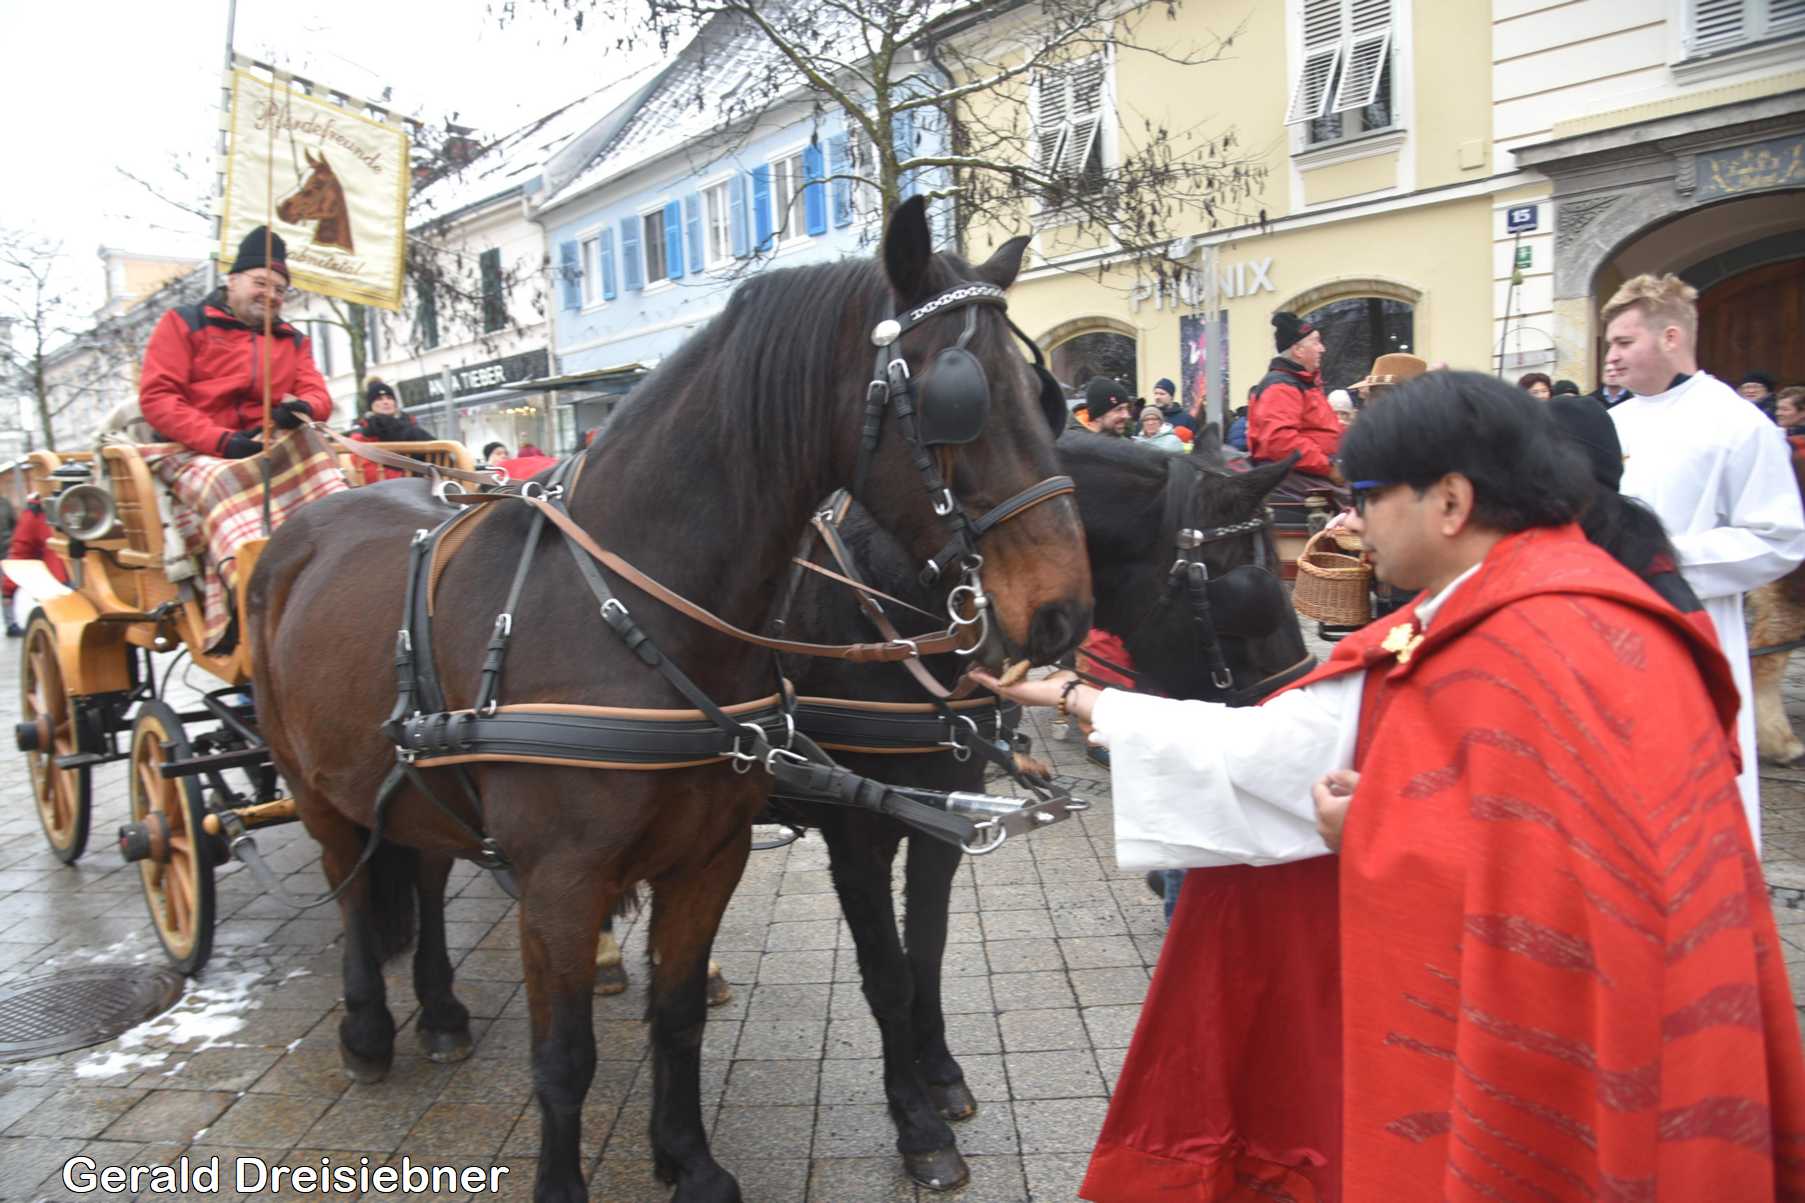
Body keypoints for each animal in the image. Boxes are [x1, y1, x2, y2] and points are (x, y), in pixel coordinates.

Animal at [247, 198, 1091, 1203]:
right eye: (955, 396)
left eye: (1047, 397)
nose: (1061, 611)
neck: (630, 615)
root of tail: (305, 525)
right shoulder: (593, 874)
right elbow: (571, 1056)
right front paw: (916, 1121)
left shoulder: (735, 848)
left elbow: (706, 1003)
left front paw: (692, 1156)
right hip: (312, 786)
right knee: (351, 887)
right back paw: (370, 1028)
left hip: (419, 776)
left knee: (421, 867)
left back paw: (444, 1009)